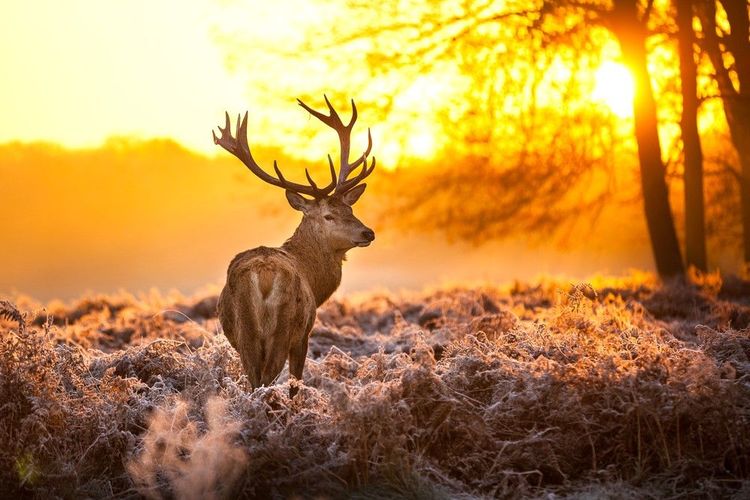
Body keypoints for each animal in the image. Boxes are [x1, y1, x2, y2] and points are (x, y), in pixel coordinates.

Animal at [212, 96, 375, 396]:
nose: (368, 232)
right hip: (284, 327)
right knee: (267, 379)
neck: (314, 280)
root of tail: (263, 275)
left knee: (254, 380)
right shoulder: (304, 334)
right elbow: (296, 382)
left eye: (350, 209)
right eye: (329, 215)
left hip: (245, 332)